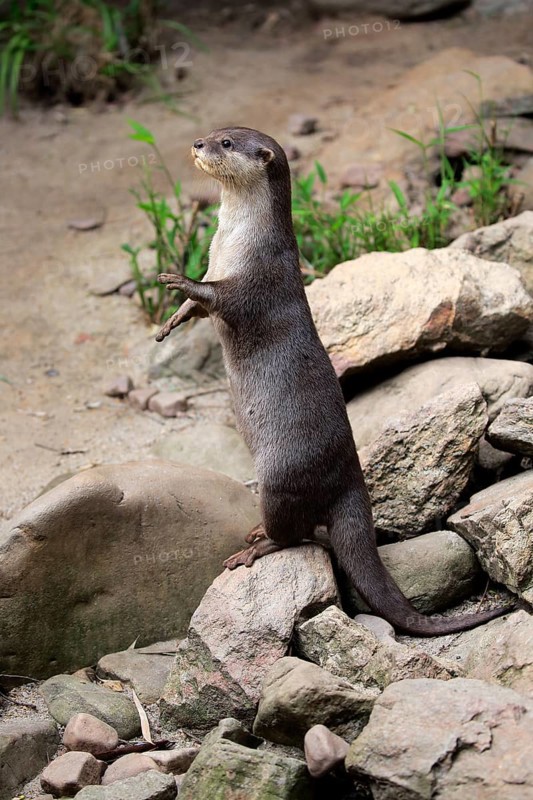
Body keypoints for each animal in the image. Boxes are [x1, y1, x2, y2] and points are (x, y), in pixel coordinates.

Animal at [155, 126, 509, 636]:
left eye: (226, 143)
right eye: (215, 133)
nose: (198, 144)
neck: (233, 242)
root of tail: (349, 479)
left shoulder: (257, 279)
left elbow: (218, 297)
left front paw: (176, 279)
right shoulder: (216, 263)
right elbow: (198, 307)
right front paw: (170, 321)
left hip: (280, 476)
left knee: (298, 535)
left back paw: (256, 547)